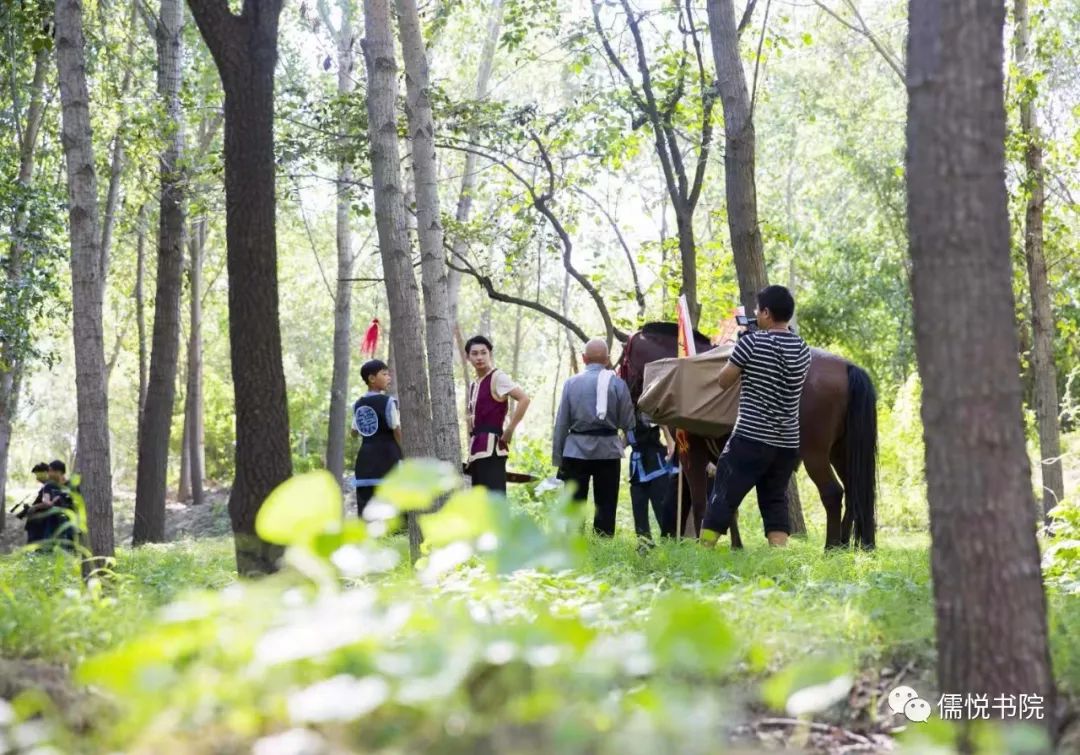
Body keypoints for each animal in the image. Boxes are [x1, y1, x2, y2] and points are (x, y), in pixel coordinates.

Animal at [617, 324, 876, 548]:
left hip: (816, 454)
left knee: (833, 493)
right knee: (854, 494)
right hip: (841, 453)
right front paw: (736, 546)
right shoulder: (718, 458)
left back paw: (831, 547)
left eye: (622, 362)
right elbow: (725, 501)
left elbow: (701, 501)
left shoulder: (692, 455)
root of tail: (848, 367)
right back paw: (847, 545)